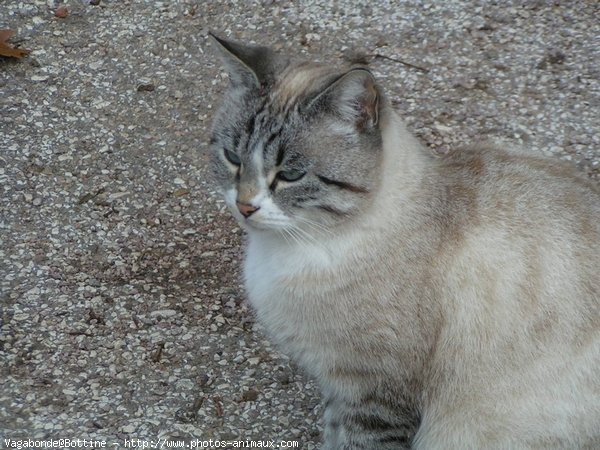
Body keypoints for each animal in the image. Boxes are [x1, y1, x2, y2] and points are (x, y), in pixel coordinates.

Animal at [209, 34, 600, 450]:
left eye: (291, 175)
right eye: (232, 157)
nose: (245, 206)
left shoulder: (374, 395)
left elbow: (356, 441)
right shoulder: (339, 388)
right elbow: (333, 434)